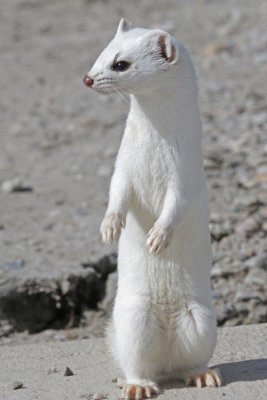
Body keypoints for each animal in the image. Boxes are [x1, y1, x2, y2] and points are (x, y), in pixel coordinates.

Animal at [84, 18, 222, 400]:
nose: (87, 78)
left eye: (121, 63)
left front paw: (159, 236)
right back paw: (136, 385)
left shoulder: (187, 175)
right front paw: (109, 226)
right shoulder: (123, 167)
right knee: (137, 363)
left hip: (201, 320)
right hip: (132, 320)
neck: (154, 152)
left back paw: (203, 376)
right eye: (101, 52)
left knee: (192, 361)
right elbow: (117, 194)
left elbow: (177, 206)